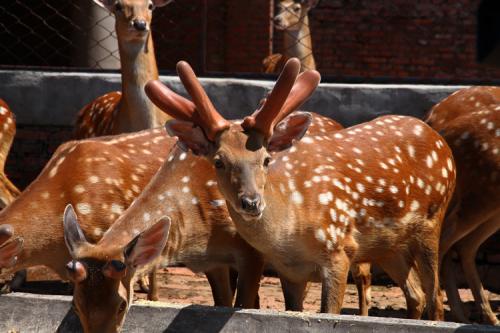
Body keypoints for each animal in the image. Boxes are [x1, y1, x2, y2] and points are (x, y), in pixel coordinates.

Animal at [146, 58, 458, 318]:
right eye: (219, 161)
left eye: (266, 159)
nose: (251, 202)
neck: (290, 232)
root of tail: (438, 138)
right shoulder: (289, 271)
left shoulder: (339, 248)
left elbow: (329, 312)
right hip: (389, 246)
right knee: (416, 295)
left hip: (432, 221)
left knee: (434, 298)